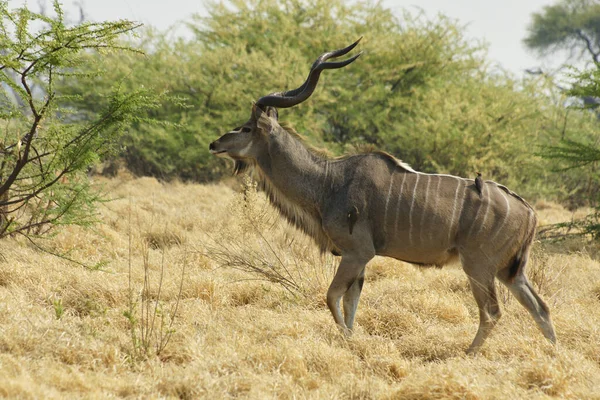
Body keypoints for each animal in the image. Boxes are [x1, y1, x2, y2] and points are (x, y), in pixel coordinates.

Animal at [209, 39, 556, 354]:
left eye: (246, 128)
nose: (215, 144)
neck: (329, 182)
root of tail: (530, 212)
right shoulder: (359, 259)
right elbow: (350, 303)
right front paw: (353, 341)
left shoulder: (357, 253)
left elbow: (332, 297)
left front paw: (348, 342)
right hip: (510, 271)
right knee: (540, 307)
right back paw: (554, 355)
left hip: (478, 266)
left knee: (492, 312)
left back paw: (468, 355)